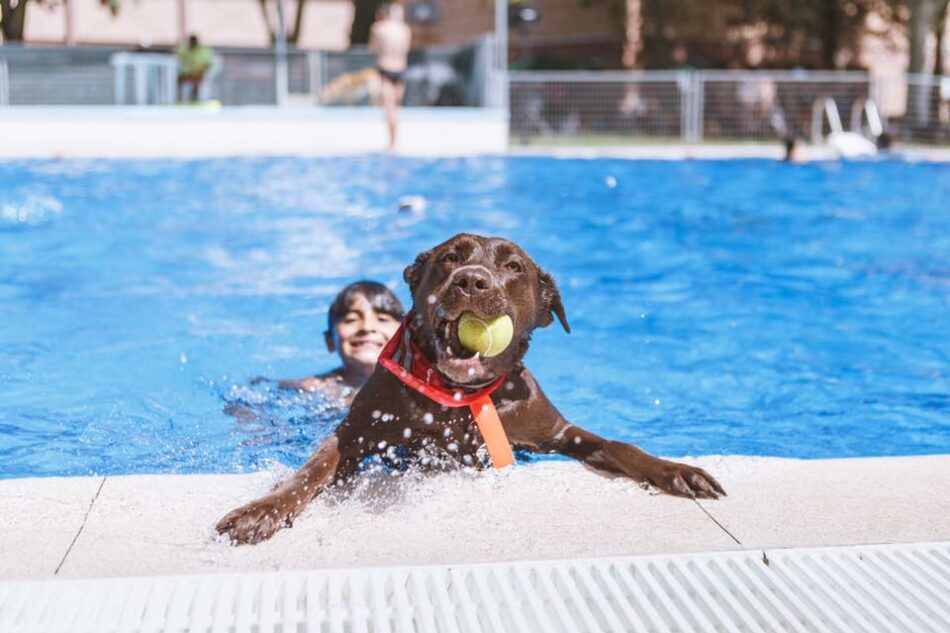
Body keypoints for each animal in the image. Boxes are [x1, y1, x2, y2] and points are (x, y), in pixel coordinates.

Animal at [216, 235, 724, 544]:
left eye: (514, 266)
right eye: (451, 257)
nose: (472, 280)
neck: (460, 396)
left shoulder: (554, 430)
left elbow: (619, 443)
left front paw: (675, 471)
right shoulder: (357, 433)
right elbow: (311, 469)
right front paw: (263, 510)